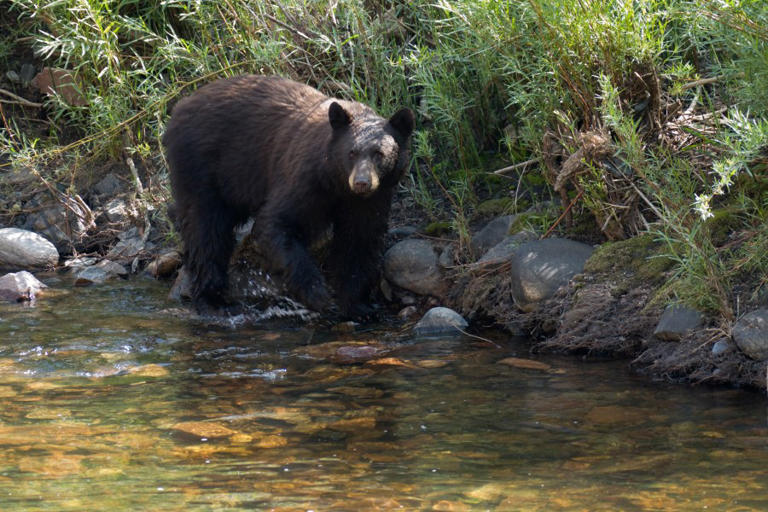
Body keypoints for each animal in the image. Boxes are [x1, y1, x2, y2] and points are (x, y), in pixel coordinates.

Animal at [162, 74, 414, 318]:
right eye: (351, 152)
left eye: (379, 153)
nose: (362, 182)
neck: (337, 183)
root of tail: (179, 107)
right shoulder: (304, 179)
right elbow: (277, 223)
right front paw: (318, 294)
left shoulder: (371, 199)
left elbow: (359, 240)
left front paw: (357, 305)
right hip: (200, 166)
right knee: (206, 230)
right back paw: (214, 301)